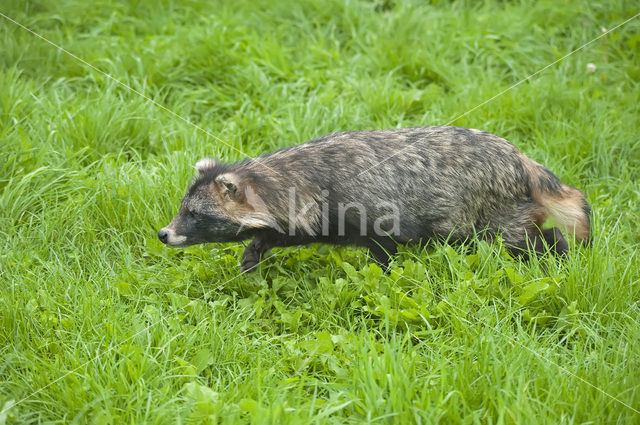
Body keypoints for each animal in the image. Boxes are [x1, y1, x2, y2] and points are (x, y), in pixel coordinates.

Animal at [159, 126, 592, 272]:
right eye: (184, 210)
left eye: (195, 215)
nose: (164, 233)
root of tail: (521, 159)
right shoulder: (312, 217)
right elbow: (284, 233)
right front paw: (255, 250)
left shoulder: (369, 209)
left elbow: (384, 250)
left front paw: (382, 274)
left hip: (492, 207)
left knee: (521, 237)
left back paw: (558, 252)